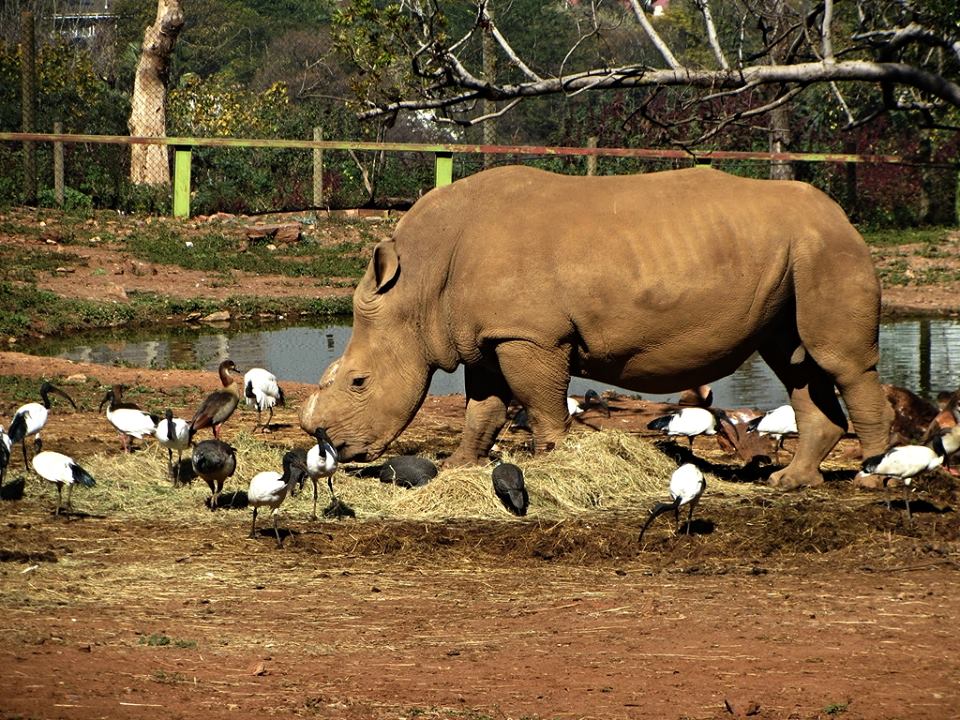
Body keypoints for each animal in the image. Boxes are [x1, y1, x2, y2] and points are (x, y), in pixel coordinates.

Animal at [301, 165, 893, 489]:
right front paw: (456, 467)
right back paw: (791, 482)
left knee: (838, 361)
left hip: (826, 248)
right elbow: (482, 408)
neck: (418, 286)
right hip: (798, 253)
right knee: (795, 361)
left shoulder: (530, 336)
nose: (333, 448)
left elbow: (539, 403)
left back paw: (870, 478)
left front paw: (554, 463)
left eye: (358, 381)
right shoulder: (487, 337)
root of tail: (843, 215)